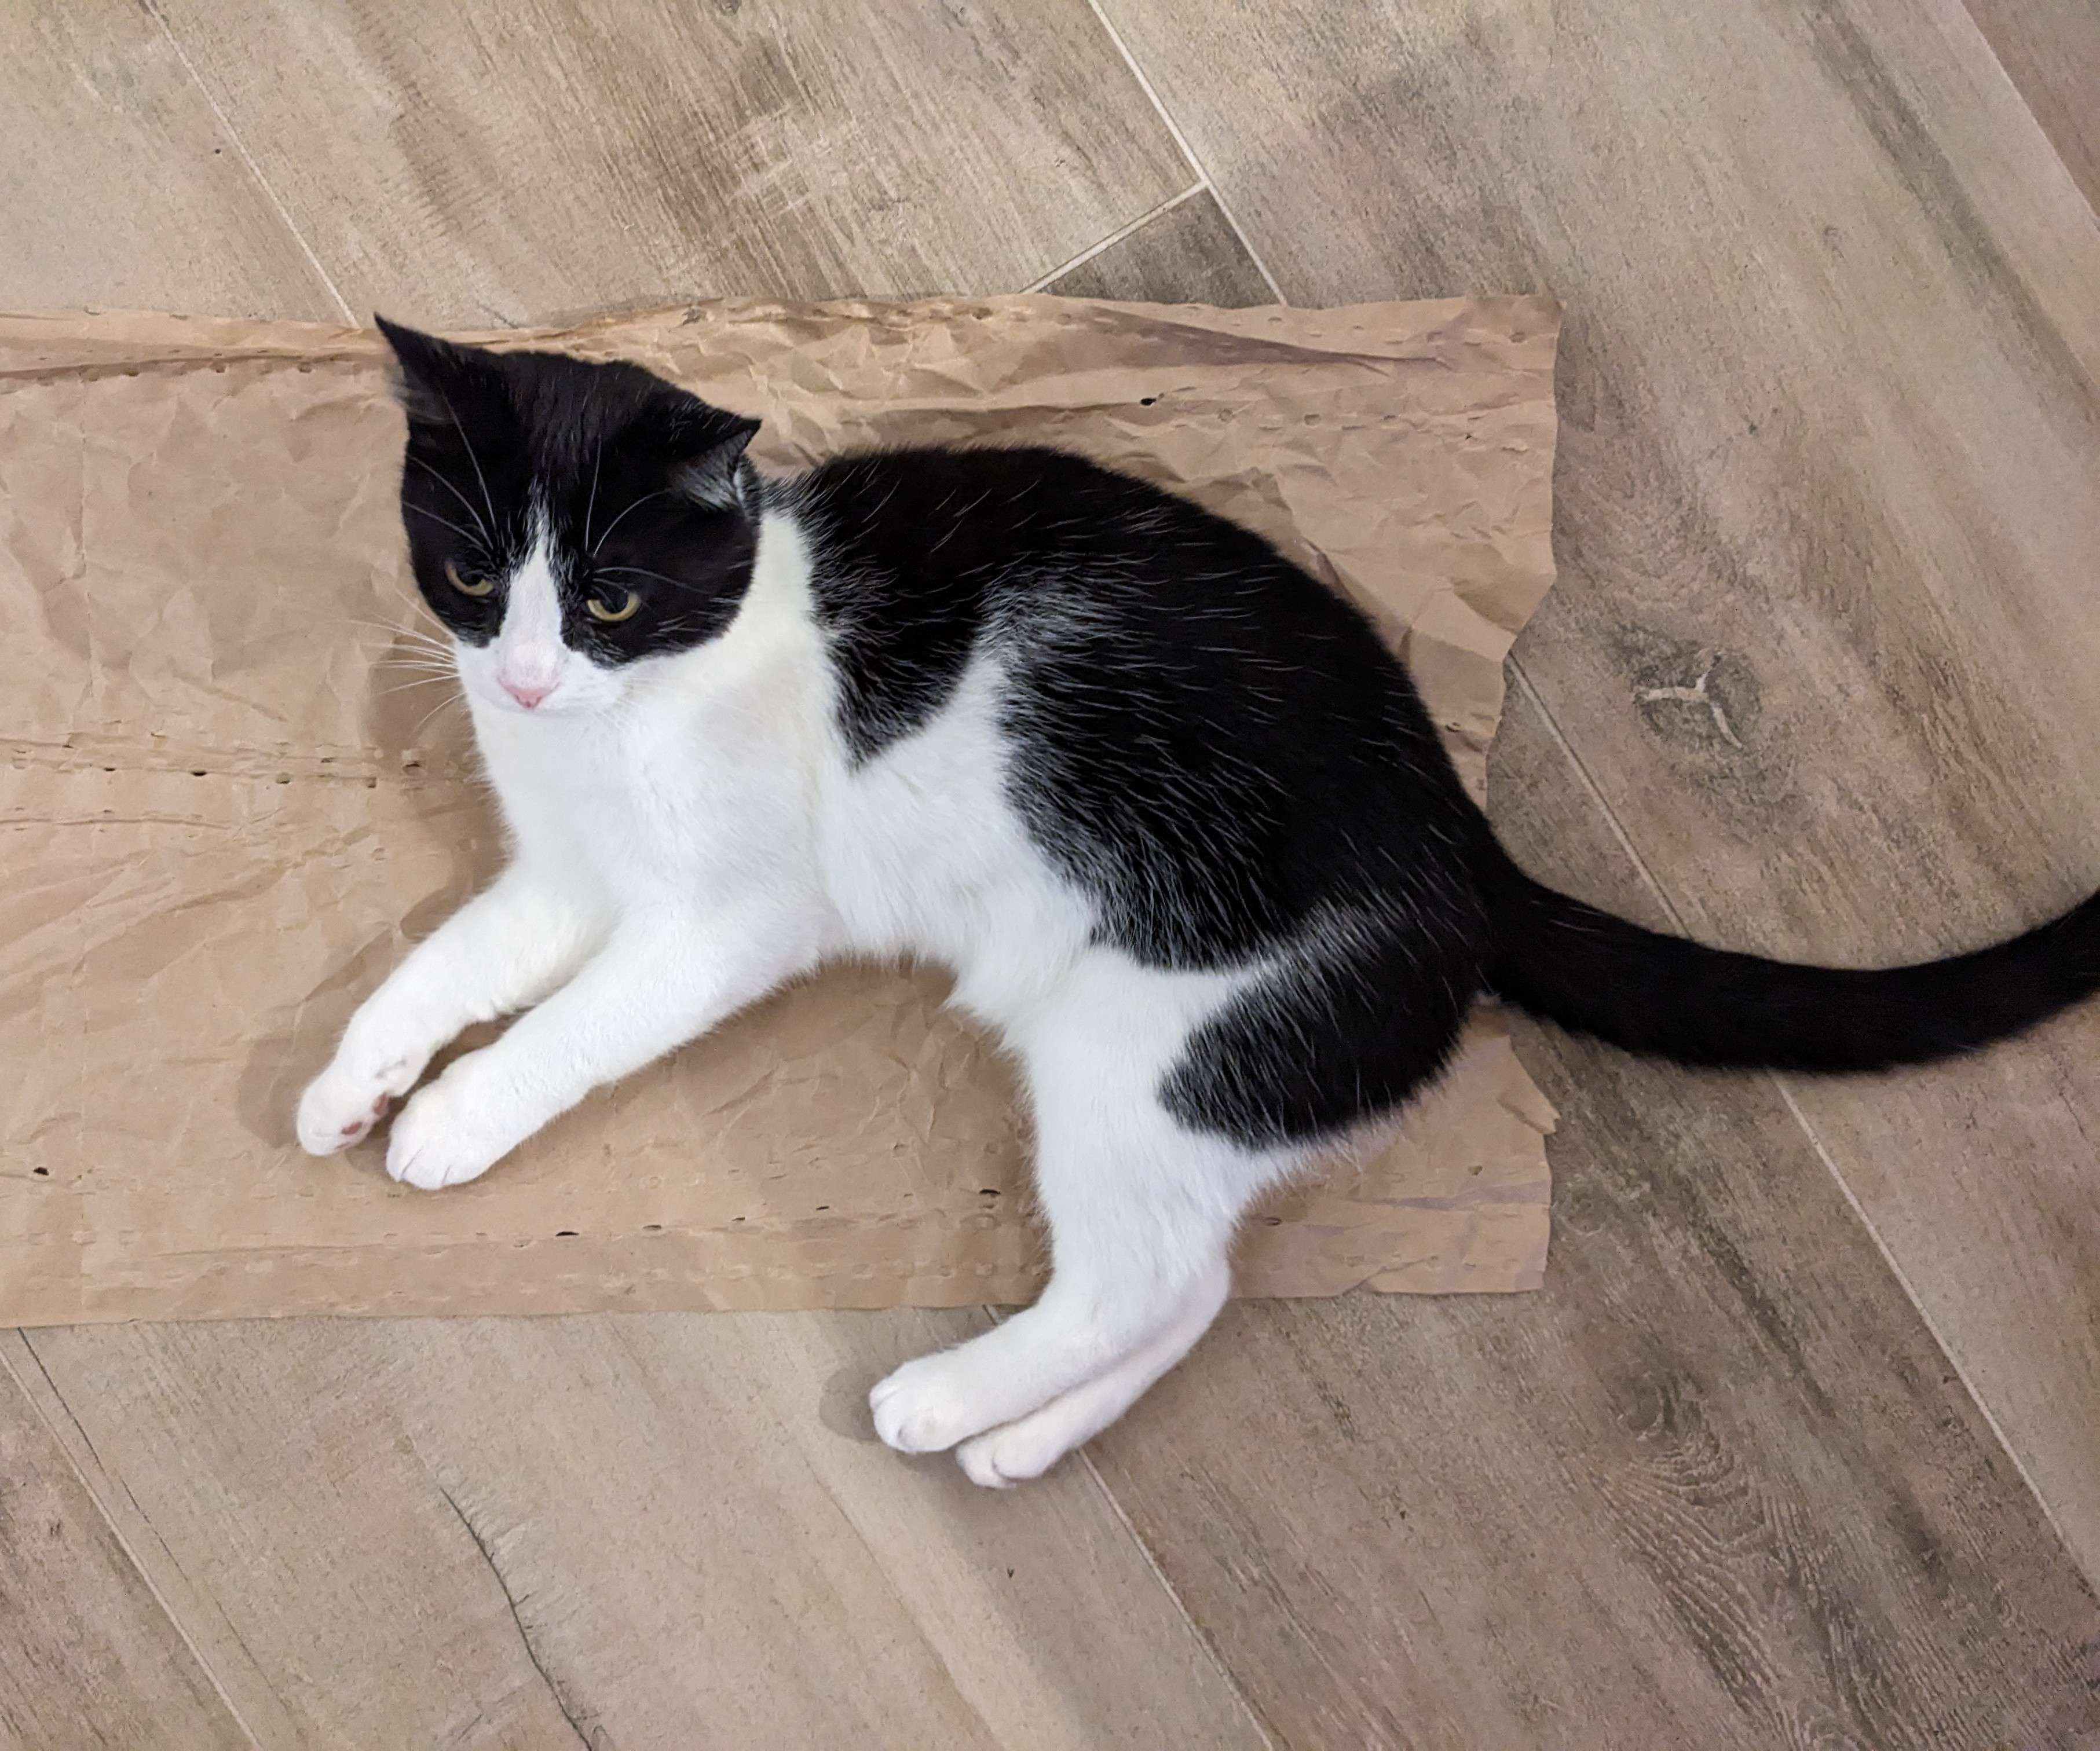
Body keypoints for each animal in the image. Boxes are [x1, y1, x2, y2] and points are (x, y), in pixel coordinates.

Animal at [298, 319, 2100, 1487]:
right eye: (475, 575)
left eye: (609, 598)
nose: (525, 680)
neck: (634, 717)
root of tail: (1468, 850)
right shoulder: (565, 873)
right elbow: (443, 966)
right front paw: (347, 1087)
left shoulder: (723, 920)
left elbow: (574, 1029)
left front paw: (448, 1124)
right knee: (1201, 1286)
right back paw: (1021, 1441)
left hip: (1144, 1045)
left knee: (1144, 1279)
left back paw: (945, 1402)